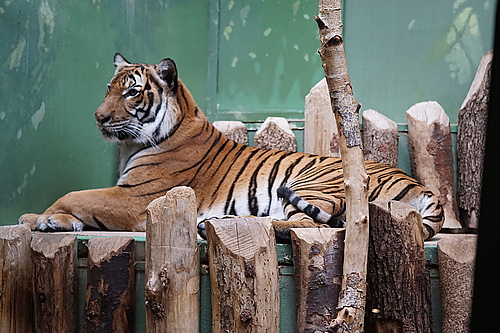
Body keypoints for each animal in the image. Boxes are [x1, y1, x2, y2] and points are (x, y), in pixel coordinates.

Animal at [17, 53, 444, 241]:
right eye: (109, 88)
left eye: (132, 91)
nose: (99, 117)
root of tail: (421, 187)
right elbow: (79, 200)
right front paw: (53, 220)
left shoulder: (137, 198)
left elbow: (76, 194)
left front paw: (38, 217)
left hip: (312, 183)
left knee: (310, 224)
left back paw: (214, 224)